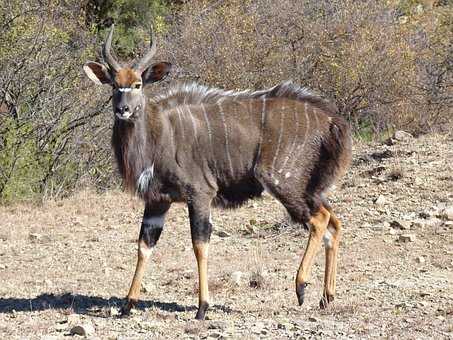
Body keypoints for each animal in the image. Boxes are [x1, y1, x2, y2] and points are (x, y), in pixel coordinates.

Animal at [83, 25, 352, 320]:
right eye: (114, 84)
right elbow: (144, 246)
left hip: (283, 181)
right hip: (311, 189)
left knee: (319, 219)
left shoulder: (200, 193)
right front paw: (127, 304)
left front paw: (202, 307)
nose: (123, 109)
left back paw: (301, 287)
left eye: (137, 84)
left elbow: (199, 244)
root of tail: (331, 121)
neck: (159, 133)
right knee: (334, 224)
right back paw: (327, 297)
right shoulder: (157, 200)